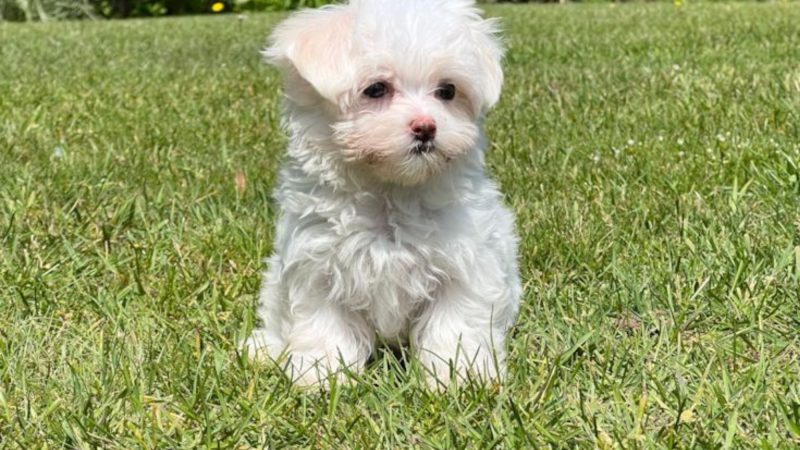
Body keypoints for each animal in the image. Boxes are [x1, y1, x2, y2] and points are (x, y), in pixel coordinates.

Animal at [241, 0, 520, 386]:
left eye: (447, 91)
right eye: (376, 89)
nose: (426, 127)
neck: (391, 191)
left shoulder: (466, 263)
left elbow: (456, 324)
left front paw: (459, 377)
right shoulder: (317, 264)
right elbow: (324, 324)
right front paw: (322, 377)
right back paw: (264, 348)